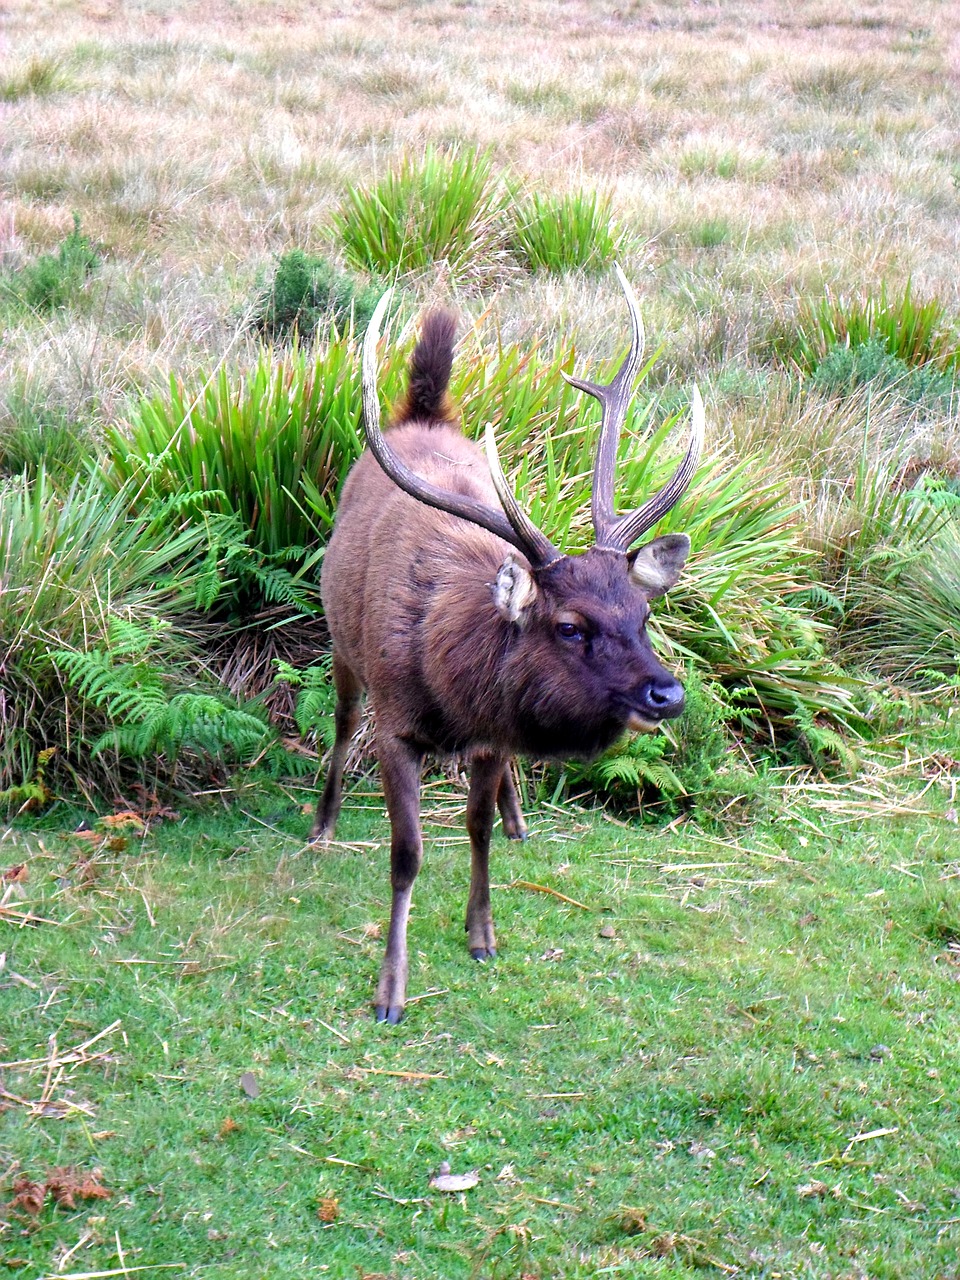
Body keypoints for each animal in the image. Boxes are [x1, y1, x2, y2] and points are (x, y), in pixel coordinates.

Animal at [316, 267, 706, 1018]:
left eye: (643, 614)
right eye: (570, 626)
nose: (667, 694)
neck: (448, 684)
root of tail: (424, 415)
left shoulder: (494, 733)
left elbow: (477, 830)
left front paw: (482, 934)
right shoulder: (397, 726)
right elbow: (406, 854)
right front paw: (390, 990)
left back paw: (519, 817)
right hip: (340, 640)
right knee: (343, 720)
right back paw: (322, 820)